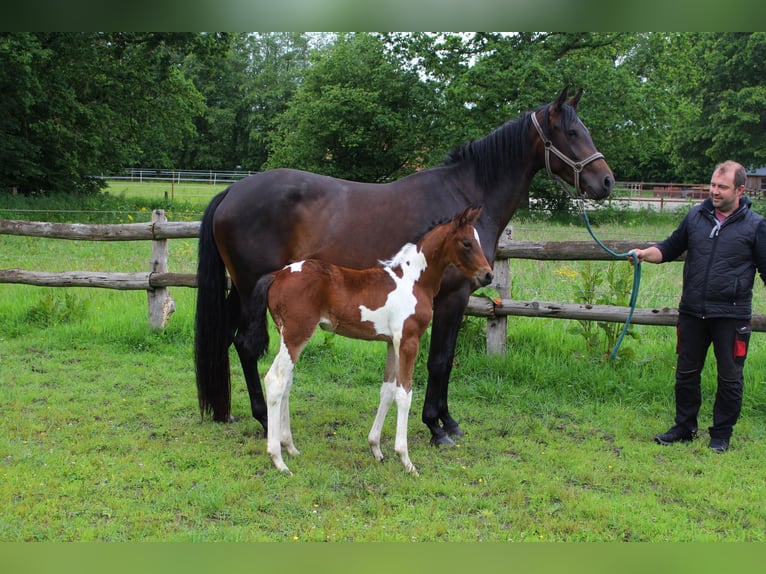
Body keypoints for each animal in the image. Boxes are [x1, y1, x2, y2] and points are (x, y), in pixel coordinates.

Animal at [195, 86, 614, 447]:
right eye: (572, 132)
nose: (607, 182)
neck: (464, 197)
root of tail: (232, 191)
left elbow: (444, 361)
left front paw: (447, 421)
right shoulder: (452, 297)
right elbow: (440, 361)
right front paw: (436, 427)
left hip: (242, 290)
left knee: (233, 341)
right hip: (252, 288)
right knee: (248, 345)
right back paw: (265, 417)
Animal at [251, 206, 492, 475]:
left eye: (477, 240)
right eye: (467, 243)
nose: (488, 275)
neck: (412, 281)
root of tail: (277, 275)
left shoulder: (391, 343)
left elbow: (387, 390)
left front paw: (376, 448)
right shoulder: (408, 341)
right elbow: (405, 393)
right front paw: (406, 460)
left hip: (290, 336)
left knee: (287, 383)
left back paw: (291, 448)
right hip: (296, 334)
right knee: (276, 380)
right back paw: (278, 459)